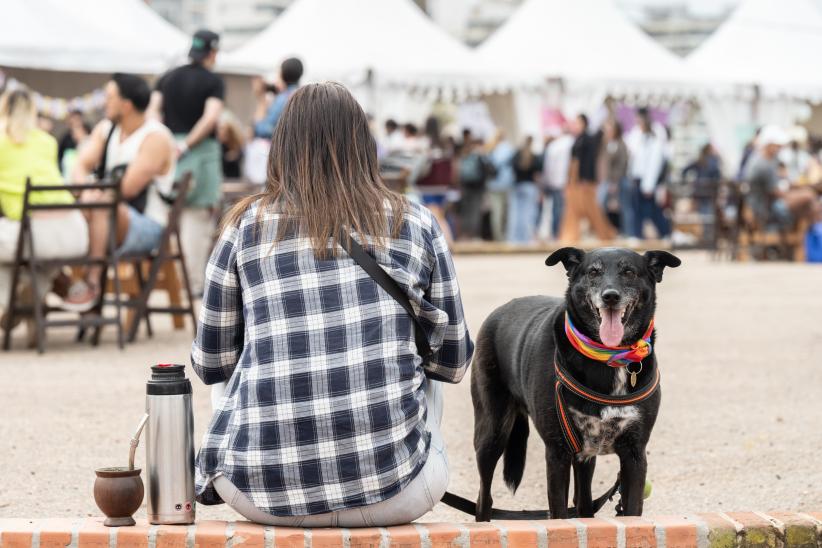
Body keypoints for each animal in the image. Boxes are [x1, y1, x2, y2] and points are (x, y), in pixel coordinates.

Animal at [474, 246, 680, 520]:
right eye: (593, 272)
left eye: (629, 272)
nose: (610, 296)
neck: (609, 356)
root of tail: (500, 310)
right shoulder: (557, 452)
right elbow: (559, 513)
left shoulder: (635, 453)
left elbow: (632, 511)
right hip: (491, 433)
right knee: (483, 497)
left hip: (584, 455)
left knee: (583, 503)